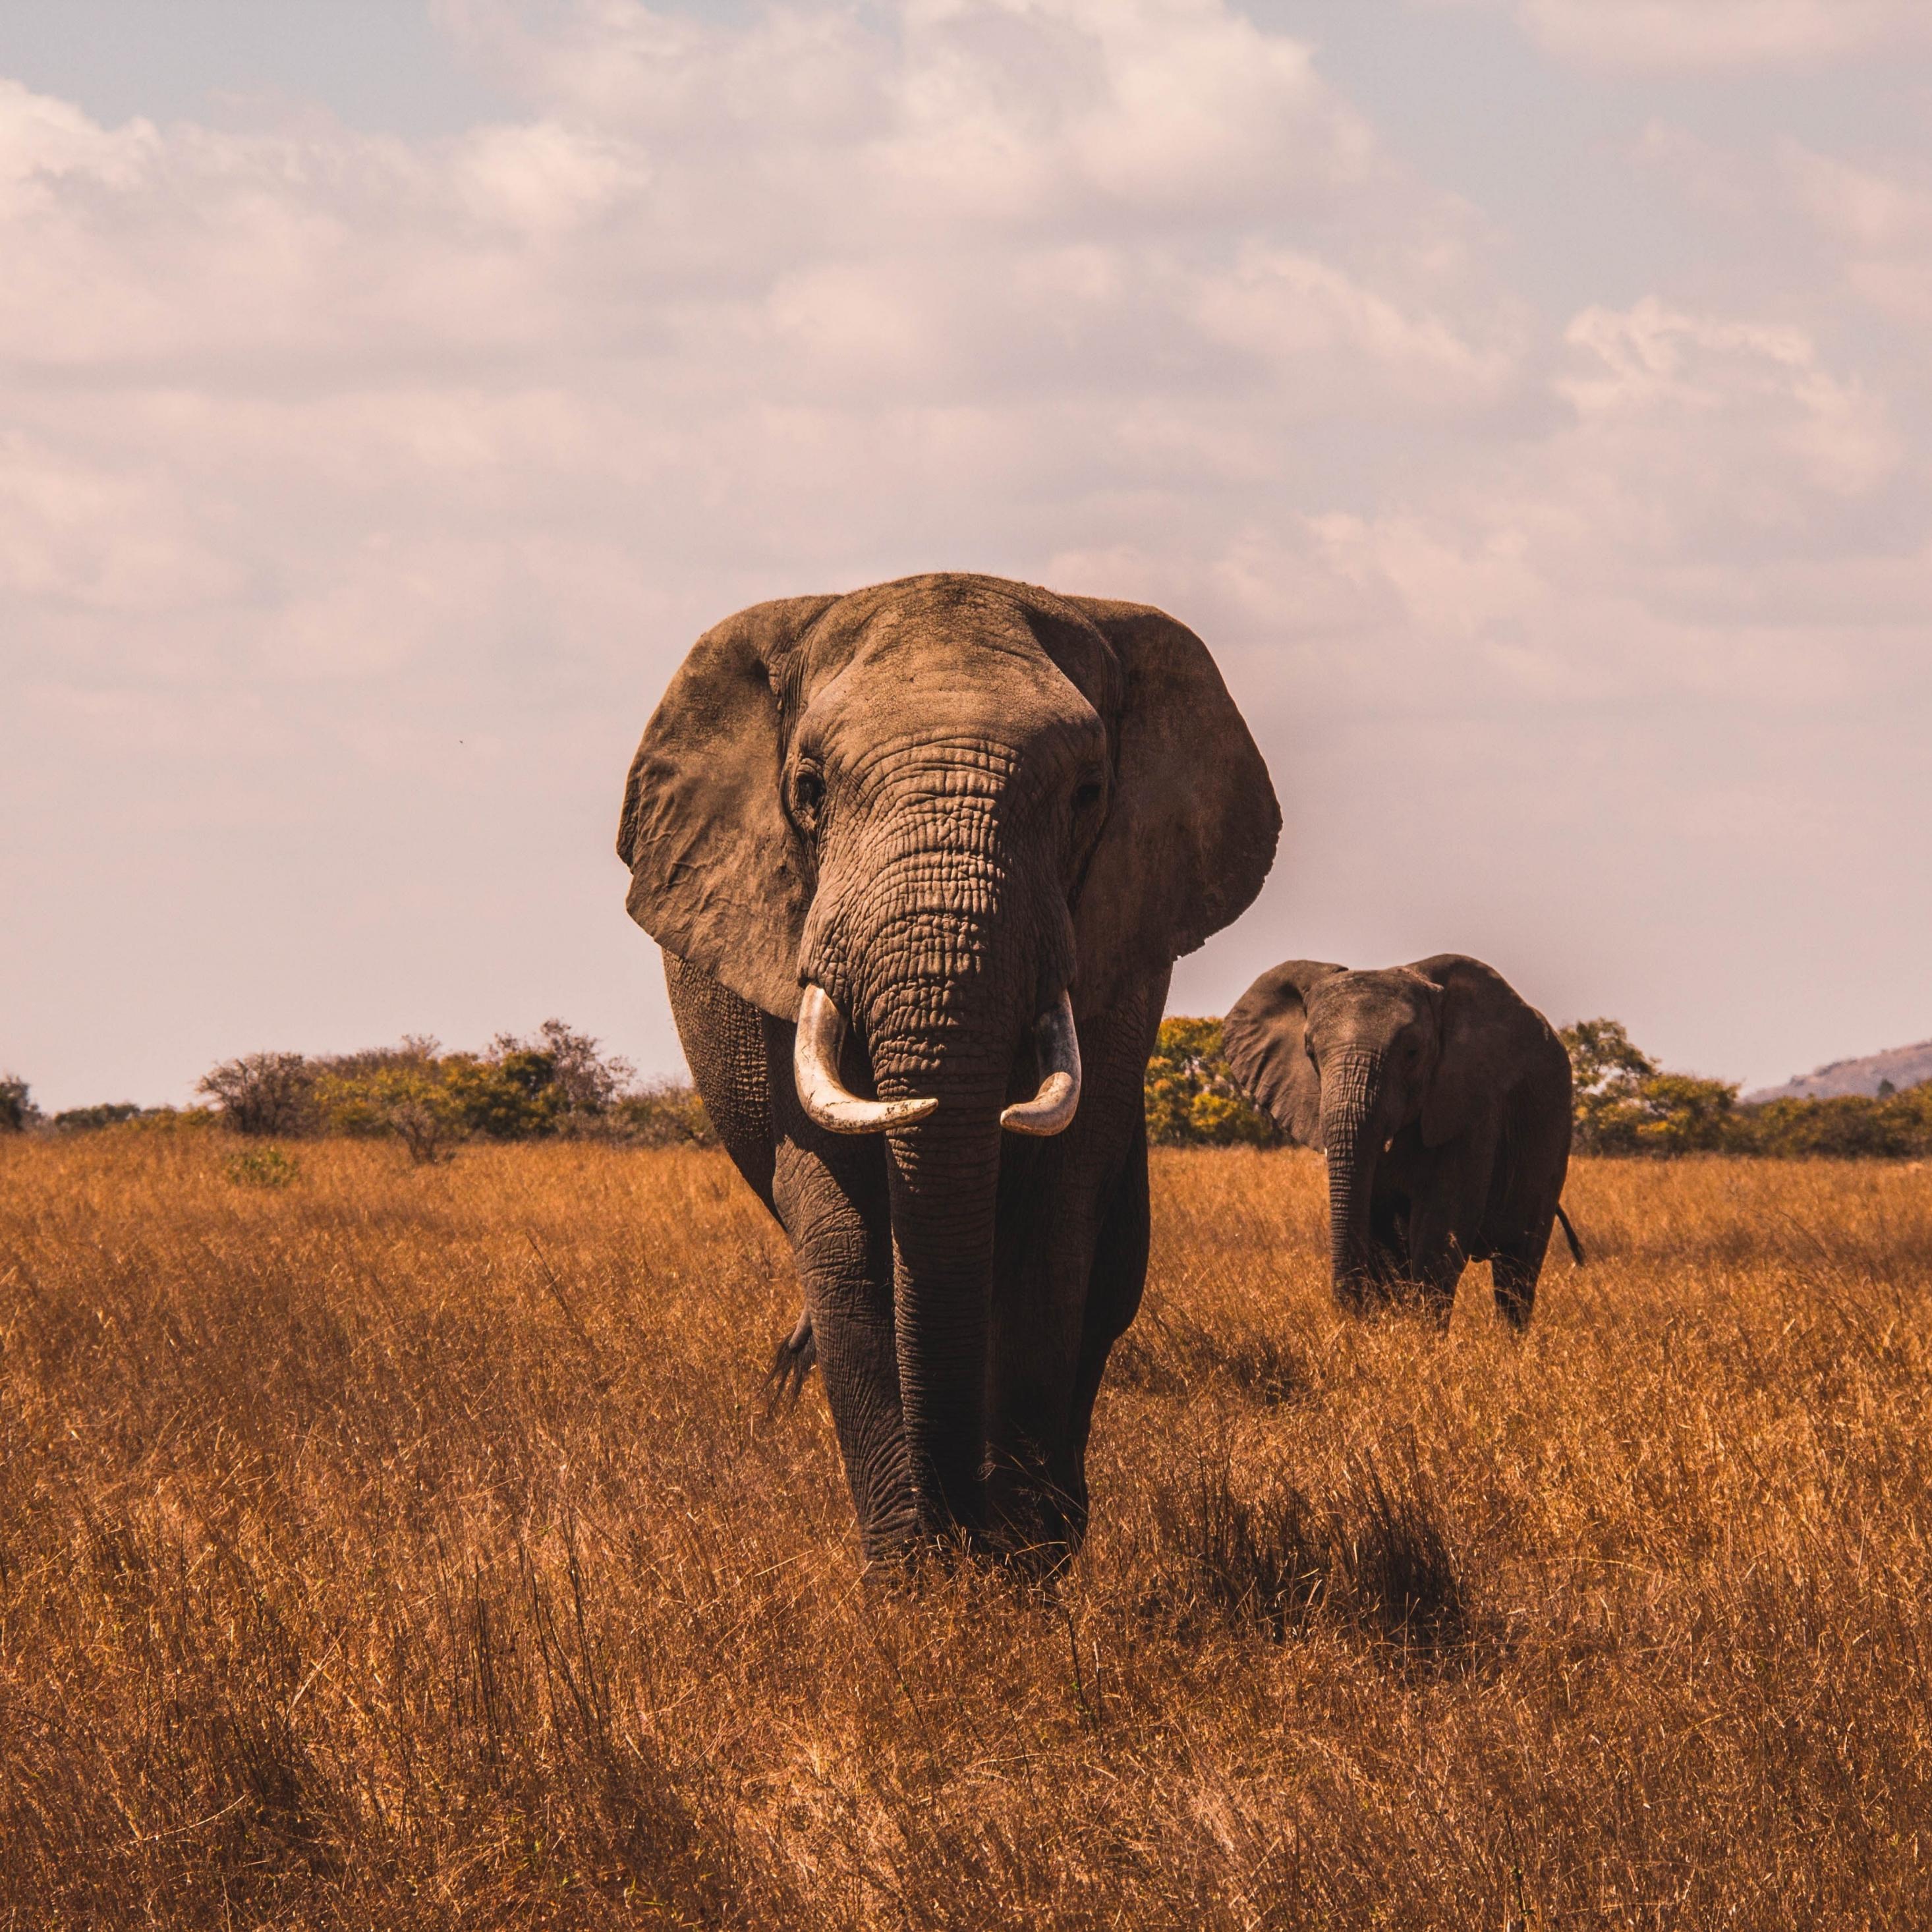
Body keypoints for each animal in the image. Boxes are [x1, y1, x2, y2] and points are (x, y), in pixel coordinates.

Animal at [619, 573, 1278, 1565]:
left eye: (1088, 793)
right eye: (809, 790)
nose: (961, 1525)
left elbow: (1053, 1225)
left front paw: (1019, 1567)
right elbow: (845, 1234)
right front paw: (916, 1577)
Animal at [1222, 955, 1580, 1329]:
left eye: (1412, 1052)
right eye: (1310, 1052)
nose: (1348, 1312)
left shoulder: (1473, 1108)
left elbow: (1441, 1230)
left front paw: (1422, 1338)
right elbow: (1381, 1232)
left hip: (1553, 1137)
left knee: (1518, 1268)